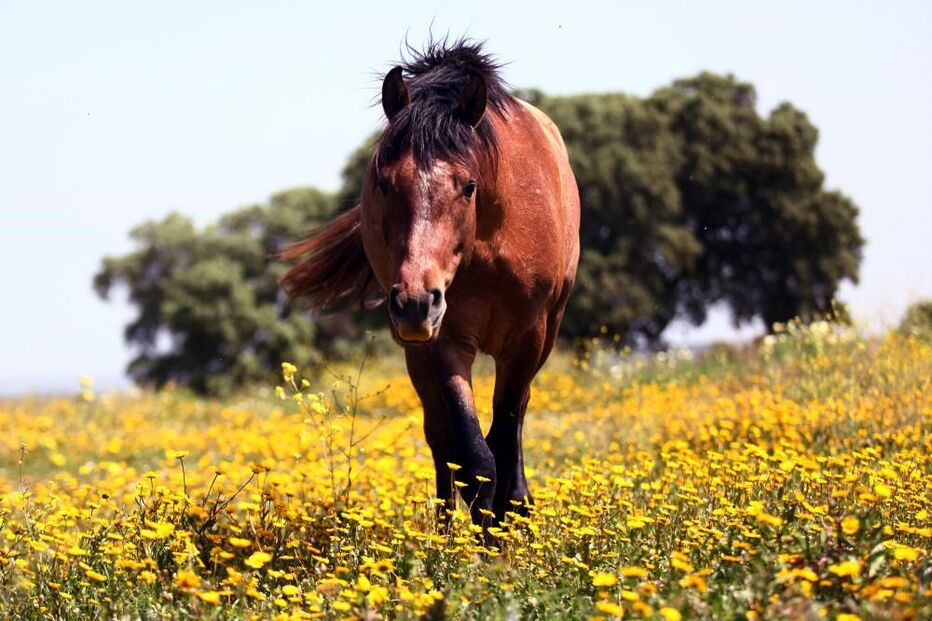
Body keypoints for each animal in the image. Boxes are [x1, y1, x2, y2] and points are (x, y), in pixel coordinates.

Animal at [280, 40, 579, 529]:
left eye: (468, 185)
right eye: (384, 183)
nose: (415, 303)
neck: (489, 244)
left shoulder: (527, 340)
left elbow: (505, 439)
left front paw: (510, 519)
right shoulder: (444, 341)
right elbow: (475, 458)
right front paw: (479, 537)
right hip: (416, 351)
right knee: (442, 441)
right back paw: (441, 531)